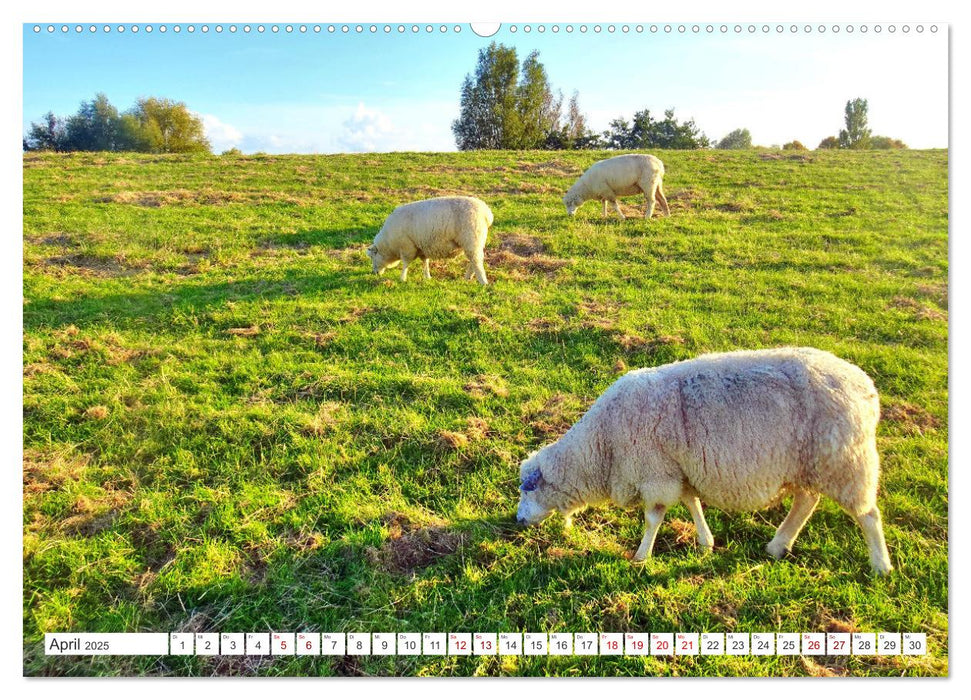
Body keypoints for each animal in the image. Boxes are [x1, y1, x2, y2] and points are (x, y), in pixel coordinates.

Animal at [366, 194, 494, 284]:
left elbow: (406, 263)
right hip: (475, 241)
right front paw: (427, 277)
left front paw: (402, 278)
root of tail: (486, 213)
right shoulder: (421, 247)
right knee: (474, 260)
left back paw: (483, 282)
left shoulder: (407, 247)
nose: (374, 273)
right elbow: (425, 262)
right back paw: (468, 278)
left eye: (372, 257)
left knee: (476, 261)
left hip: (471, 239)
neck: (389, 245)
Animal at [516, 346, 896, 576]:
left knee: (868, 514)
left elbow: (654, 517)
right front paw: (705, 542)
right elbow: (692, 502)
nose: (518, 520)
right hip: (812, 464)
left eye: (527, 489)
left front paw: (641, 556)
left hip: (846, 462)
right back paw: (777, 546)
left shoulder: (657, 473)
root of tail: (866, 388)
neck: (601, 446)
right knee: (806, 501)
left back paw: (881, 565)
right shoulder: (680, 470)